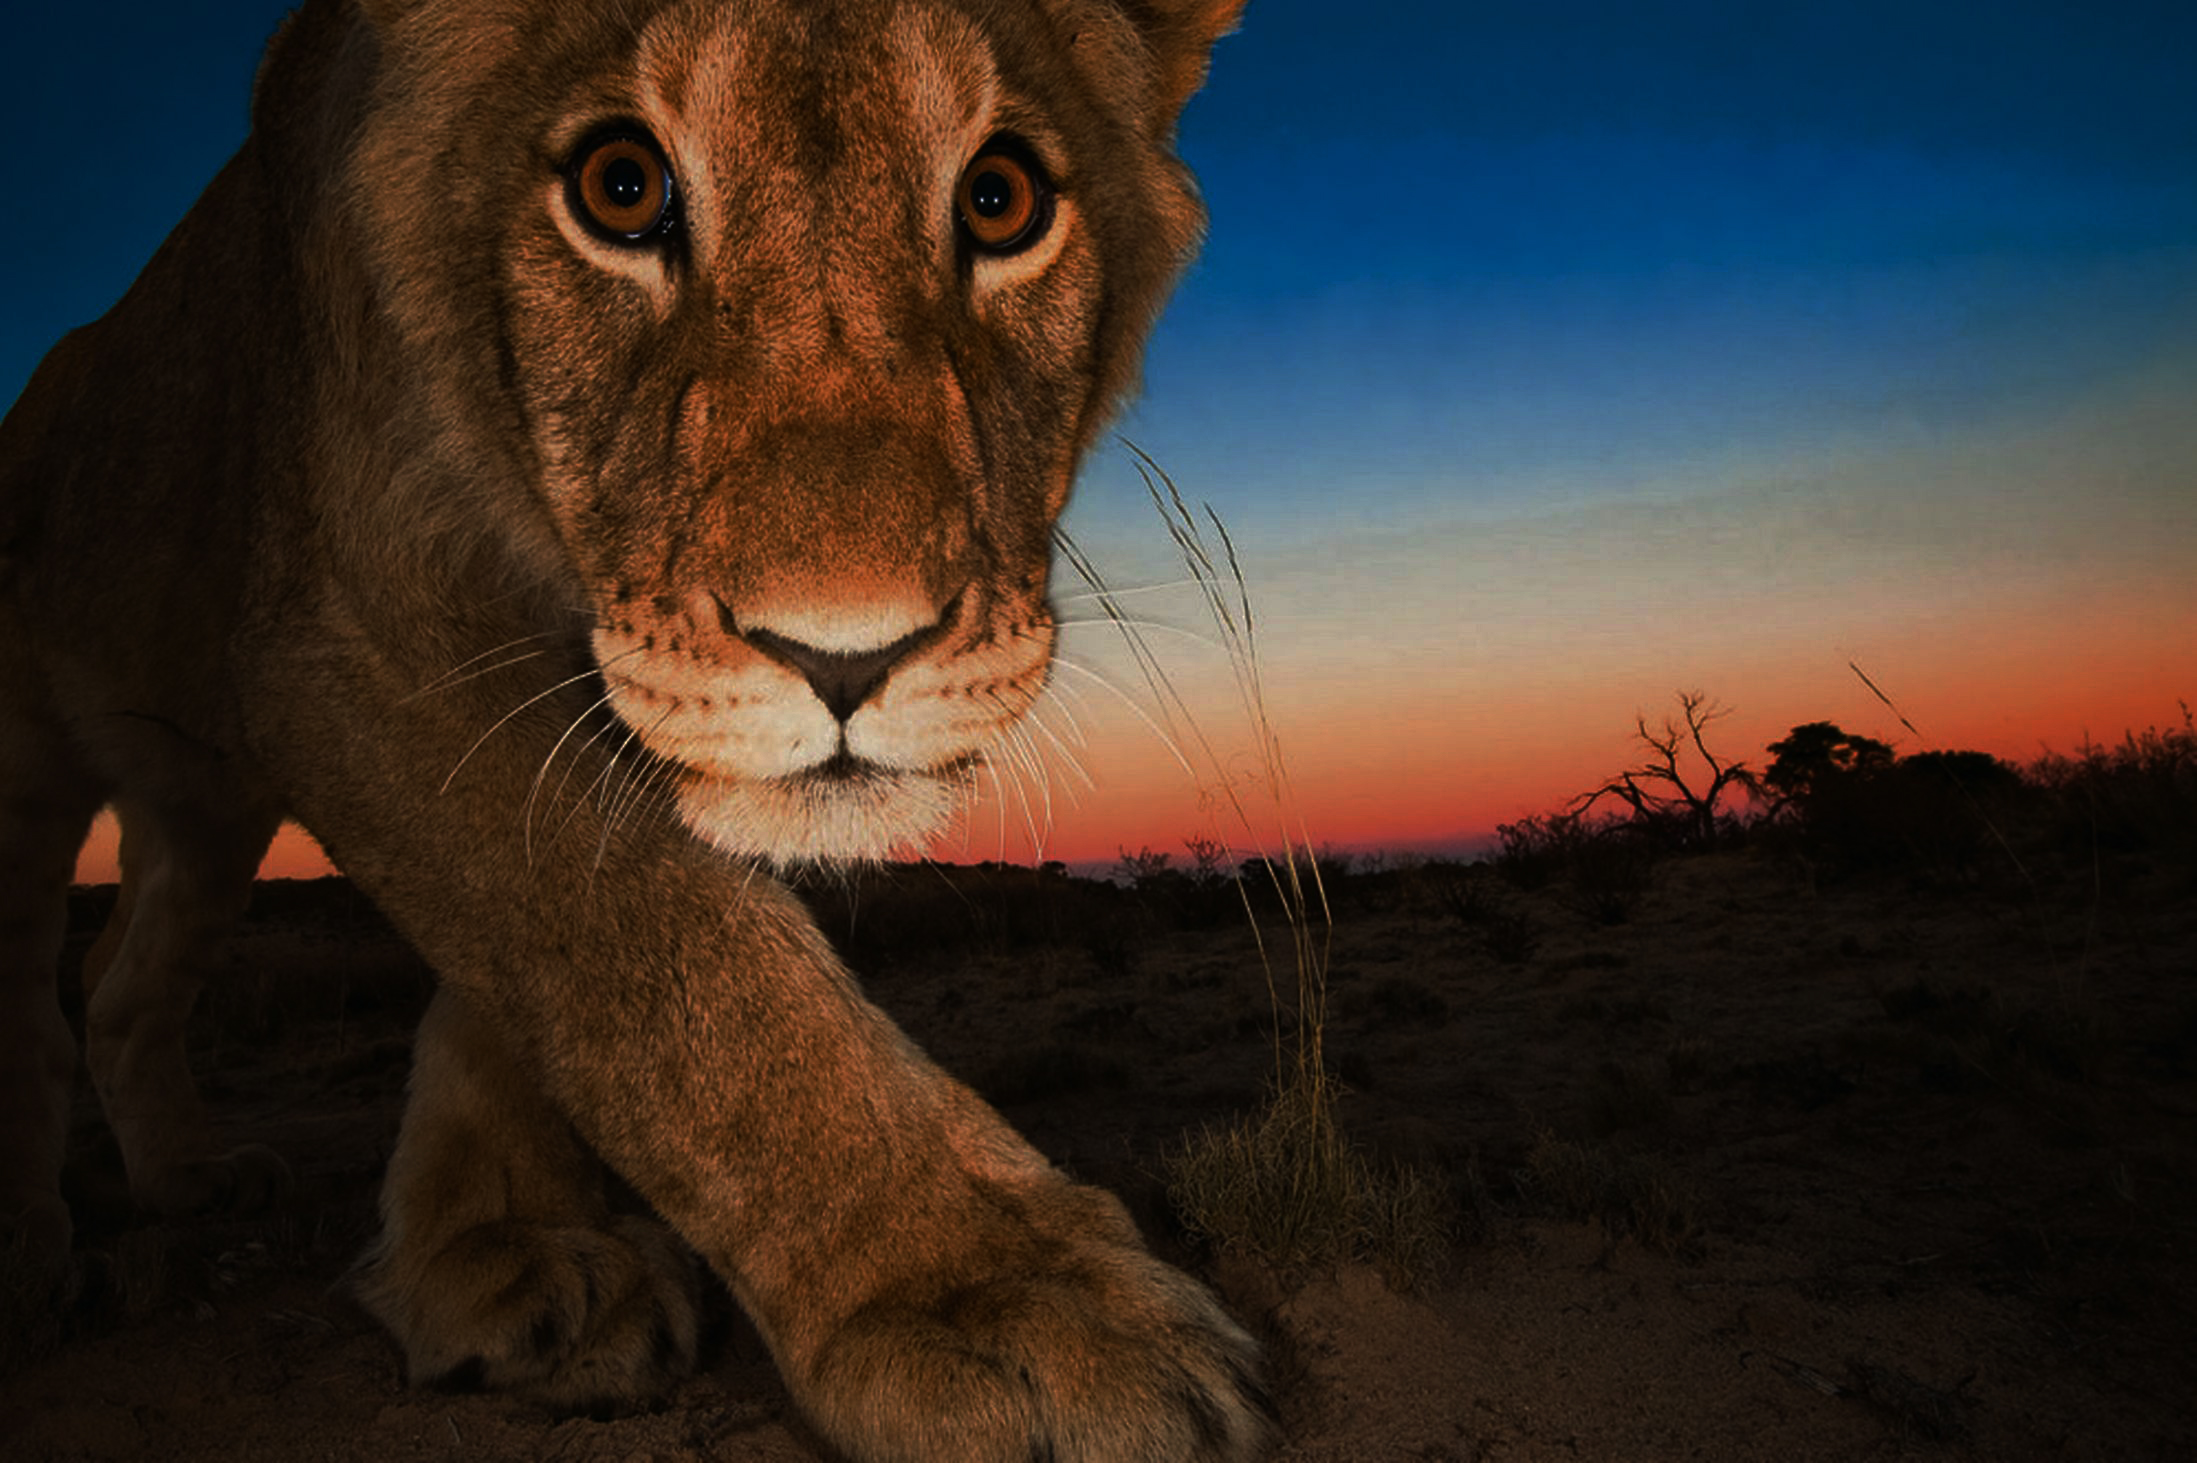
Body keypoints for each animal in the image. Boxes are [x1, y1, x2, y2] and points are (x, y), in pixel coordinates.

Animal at [0, 0, 1269, 1457]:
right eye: (620, 187)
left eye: (1000, 200)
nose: (848, 653)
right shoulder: (352, 630)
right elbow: (656, 956)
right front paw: (993, 1298)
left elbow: (551, 966)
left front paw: (496, 1253)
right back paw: (33, 1261)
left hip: (204, 804)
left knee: (122, 975)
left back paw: (195, 1178)